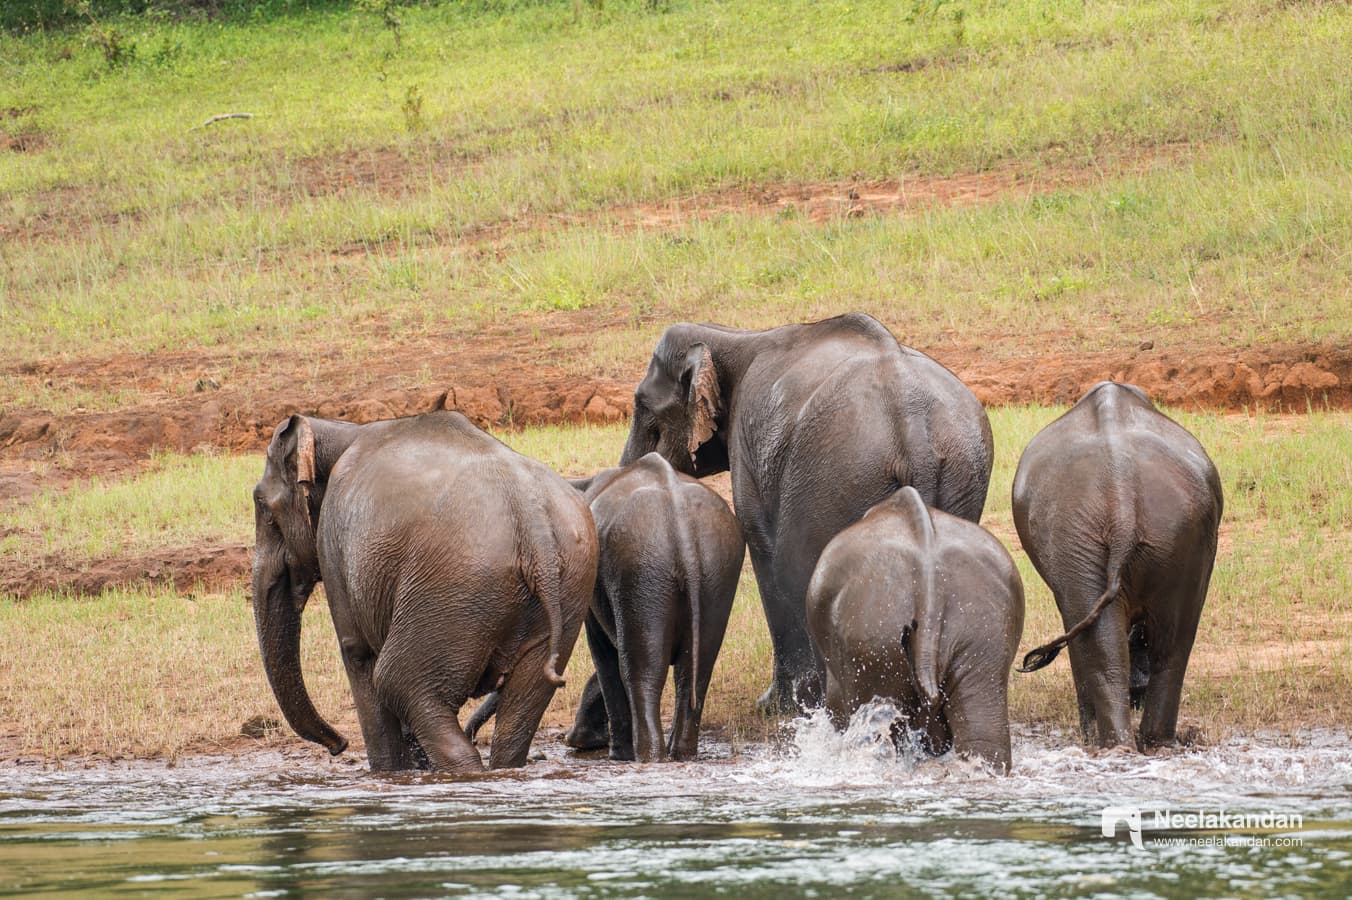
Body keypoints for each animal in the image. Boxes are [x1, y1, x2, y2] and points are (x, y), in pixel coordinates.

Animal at [251, 411, 597, 773]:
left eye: (262, 506)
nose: (339, 746)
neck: (340, 430)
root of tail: (533, 523)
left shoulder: (333, 544)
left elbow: (357, 653)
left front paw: (390, 774)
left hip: (453, 589)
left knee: (397, 681)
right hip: (567, 584)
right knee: (522, 708)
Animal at [618, 312, 994, 712]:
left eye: (643, 407)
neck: (730, 337)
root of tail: (914, 430)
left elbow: (764, 553)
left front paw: (772, 707)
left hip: (836, 476)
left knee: (797, 569)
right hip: (960, 470)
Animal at [1014, 382, 1223, 750]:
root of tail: (1121, 495)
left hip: (1108, 536)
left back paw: (1116, 743)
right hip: (1150, 535)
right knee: (1168, 643)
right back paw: (1140, 743)